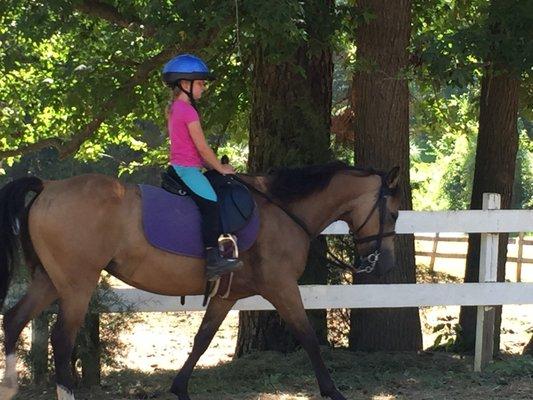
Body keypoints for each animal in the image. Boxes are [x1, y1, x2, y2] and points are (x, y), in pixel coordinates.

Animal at [0, 161, 400, 398]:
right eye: (394, 213)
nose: (384, 265)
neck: (283, 211)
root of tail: (49, 186)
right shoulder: (282, 287)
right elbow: (309, 339)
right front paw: (333, 391)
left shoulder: (227, 295)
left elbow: (202, 340)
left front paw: (179, 387)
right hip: (76, 285)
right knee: (61, 339)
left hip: (49, 281)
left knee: (14, 320)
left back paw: (9, 387)